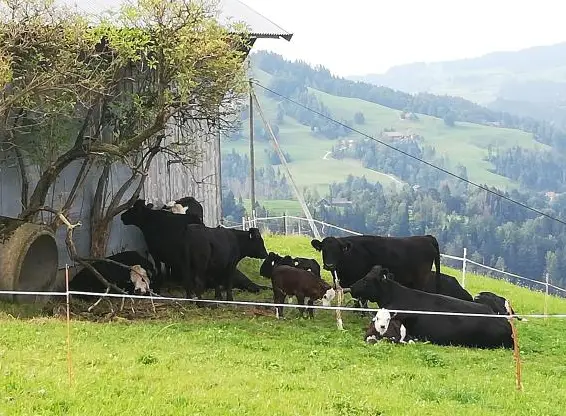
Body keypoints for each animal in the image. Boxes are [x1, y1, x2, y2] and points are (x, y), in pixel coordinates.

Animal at [310, 234, 441, 310]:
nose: (329, 265)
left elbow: (360, 297)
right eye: (324, 250)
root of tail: (426, 237)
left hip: (420, 280)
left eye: (337, 250)